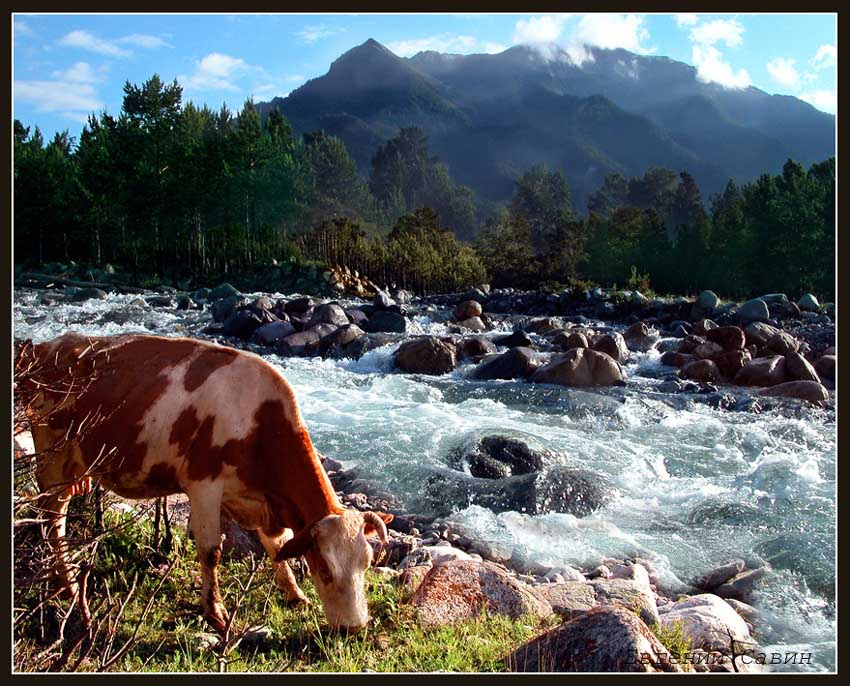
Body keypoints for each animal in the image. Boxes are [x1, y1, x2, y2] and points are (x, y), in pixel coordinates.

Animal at [14, 332, 392, 635]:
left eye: (367, 562)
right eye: (325, 568)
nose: (355, 627)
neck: (258, 423)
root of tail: (48, 346)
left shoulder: (260, 501)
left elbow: (277, 547)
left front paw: (295, 595)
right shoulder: (204, 485)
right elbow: (211, 552)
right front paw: (216, 613)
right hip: (52, 457)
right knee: (52, 519)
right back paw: (66, 586)